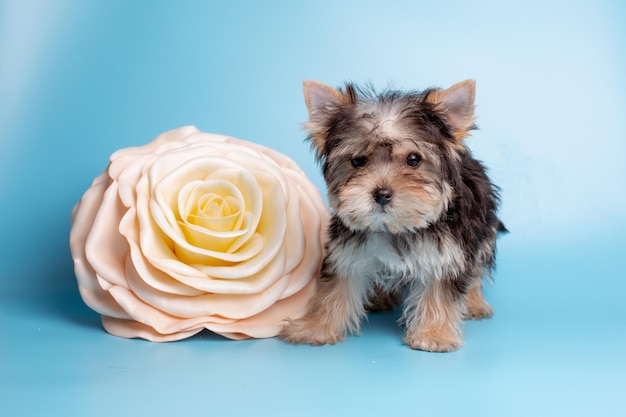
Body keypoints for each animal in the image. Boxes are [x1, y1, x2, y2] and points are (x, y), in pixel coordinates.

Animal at [278, 79, 502, 352]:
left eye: (414, 159)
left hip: (483, 228)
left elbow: (439, 289)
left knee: (477, 267)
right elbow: (336, 288)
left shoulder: (448, 252)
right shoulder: (348, 250)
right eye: (358, 161)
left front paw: (434, 334)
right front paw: (317, 327)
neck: (394, 227)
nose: (382, 194)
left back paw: (474, 302)